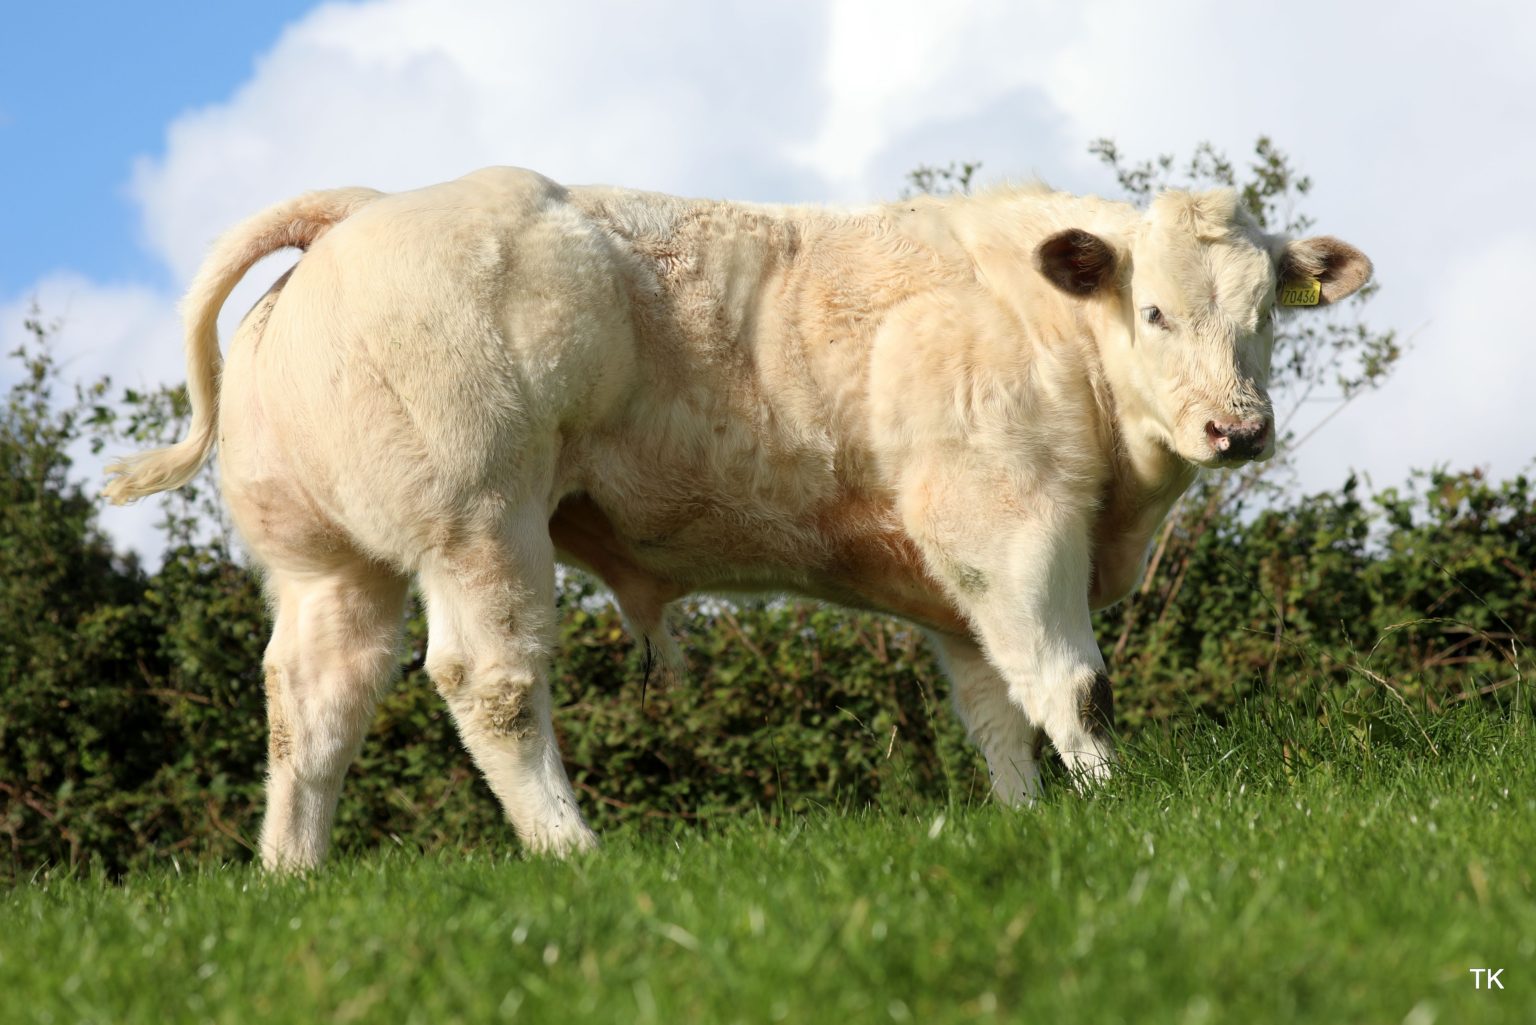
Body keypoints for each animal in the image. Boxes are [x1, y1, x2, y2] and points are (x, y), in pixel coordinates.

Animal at [105, 166, 1370, 866]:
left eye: (1266, 313)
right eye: (1154, 312)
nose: (1236, 429)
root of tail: (359, 211)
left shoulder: (956, 580)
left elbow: (996, 708)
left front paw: (1032, 815)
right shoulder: (1009, 519)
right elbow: (1069, 682)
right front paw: (1120, 806)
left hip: (330, 562)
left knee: (311, 706)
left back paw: (292, 872)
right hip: (480, 520)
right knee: (490, 685)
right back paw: (572, 848)